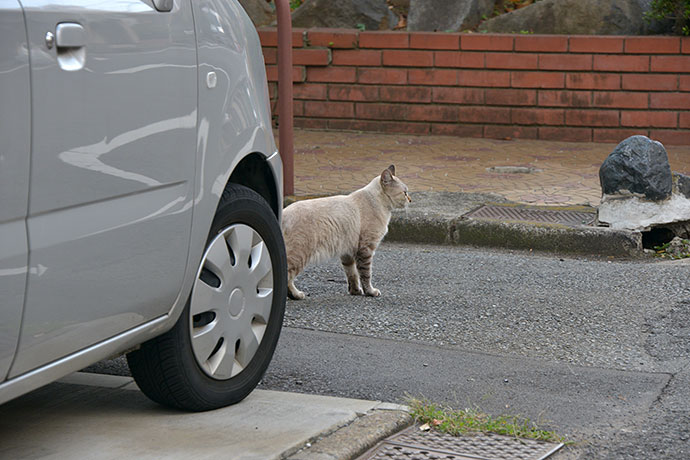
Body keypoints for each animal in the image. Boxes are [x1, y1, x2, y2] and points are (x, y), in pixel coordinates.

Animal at [280, 164, 408, 300]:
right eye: (405, 193)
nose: (410, 200)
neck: (377, 203)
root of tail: (284, 212)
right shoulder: (366, 249)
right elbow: (366, 275)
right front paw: (370, 292)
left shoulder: (347, 252)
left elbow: (352, 275)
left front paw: (355, 291)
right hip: (299, 256)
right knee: (287, 277)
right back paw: (297, 294)